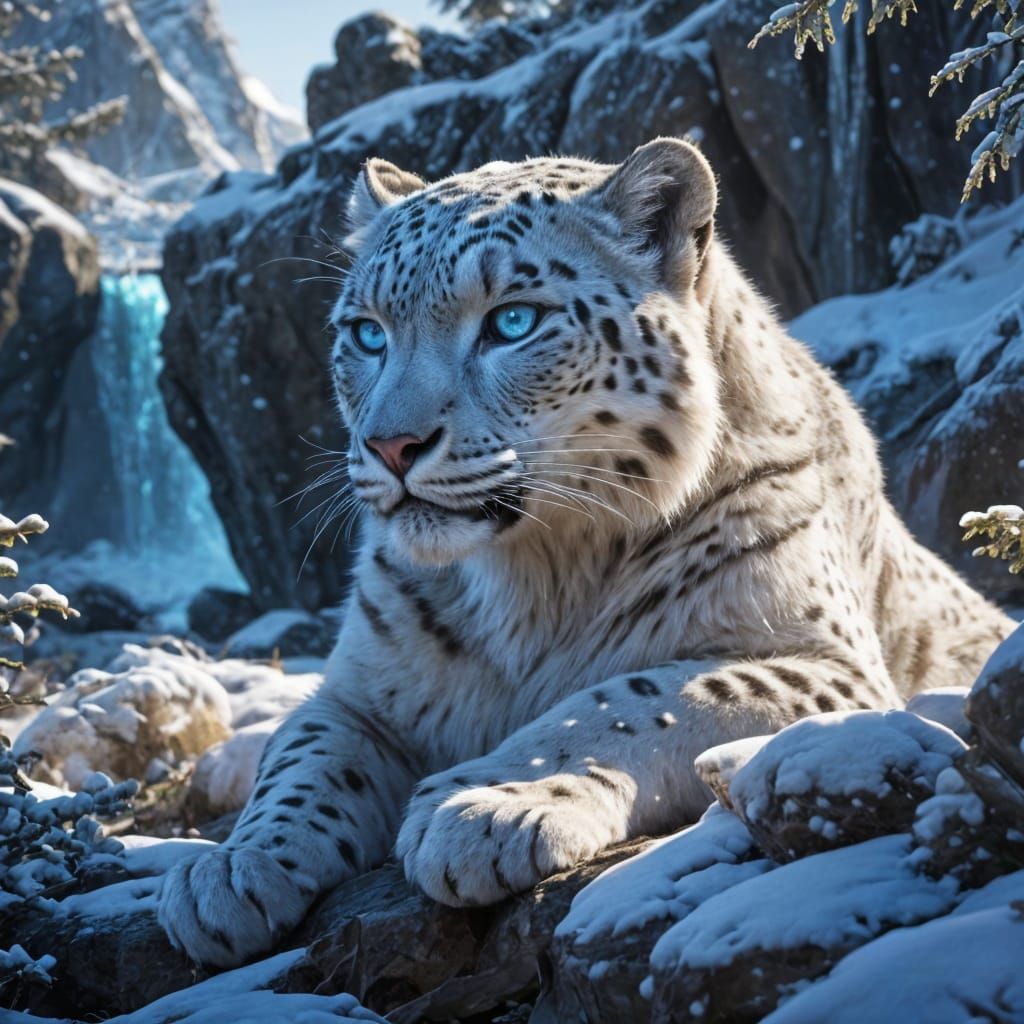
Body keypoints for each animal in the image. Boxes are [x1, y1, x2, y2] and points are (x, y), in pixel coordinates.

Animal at [157, 138, 1015, 967]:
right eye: (367, 332)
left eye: (512, 322)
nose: (391, 445)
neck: (534, 579)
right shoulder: (360, 691)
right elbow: (302, 756)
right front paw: (225, 872)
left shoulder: (830, 663)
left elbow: (642, 695)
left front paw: (485, 805)